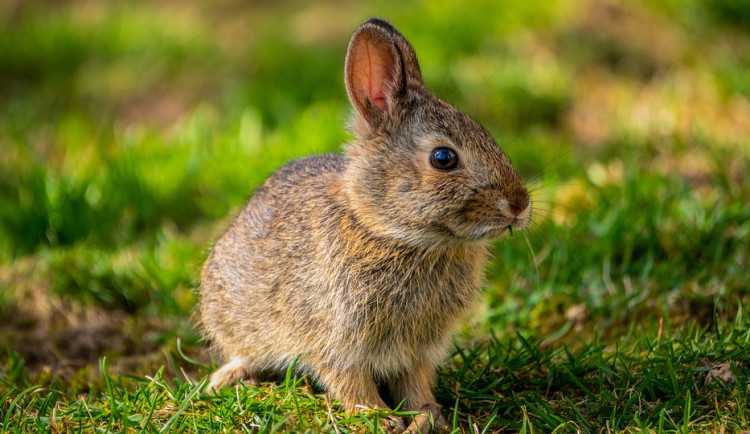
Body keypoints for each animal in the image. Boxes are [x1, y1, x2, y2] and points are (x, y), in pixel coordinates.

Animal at [198, 16, 528, 430]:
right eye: (443, 158)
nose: (520, 205)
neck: (392, 233)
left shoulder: (418, 350)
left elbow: (415, 384)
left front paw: (427, 417)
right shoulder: (335, 341)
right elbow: (350, 382)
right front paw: (378, 418)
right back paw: (228, 377)